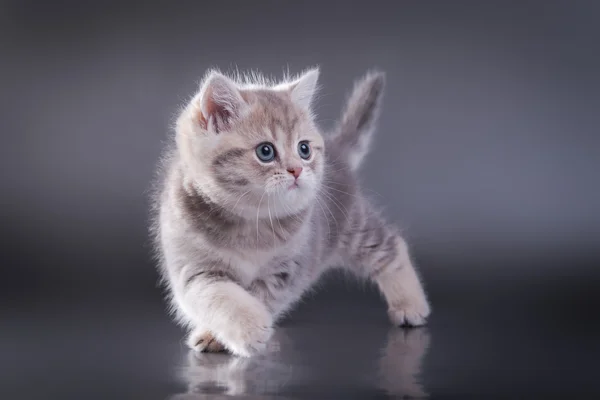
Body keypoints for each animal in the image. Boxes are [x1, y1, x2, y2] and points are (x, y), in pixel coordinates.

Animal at [150, 67, 432, 358]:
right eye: (265, 151)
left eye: (304, 149)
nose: (297, 169)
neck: (250, 222)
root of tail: (336, 151)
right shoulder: (192, 268)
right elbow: (220, 296)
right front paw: (243, 328)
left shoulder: (287, 270)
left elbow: (261, 296)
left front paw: (233, 332)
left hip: (353, 224)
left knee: (391, 247)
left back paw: (410, 304)